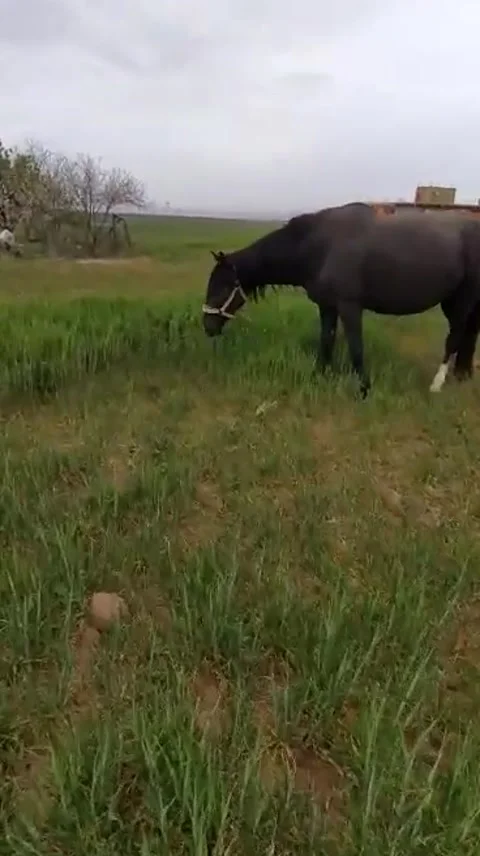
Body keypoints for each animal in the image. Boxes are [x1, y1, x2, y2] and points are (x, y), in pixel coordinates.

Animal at [201, 202, 480, 397]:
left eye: (222, 288)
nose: (207, 326)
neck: (321, 245)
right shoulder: (328, 307)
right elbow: (327, 341)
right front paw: (319, 375)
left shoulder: (349, 307)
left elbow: (356, 347)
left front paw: (364, 388)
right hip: (453, 302)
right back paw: (460, 375)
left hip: (462, 301)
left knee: (455, 337)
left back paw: (437, 384)